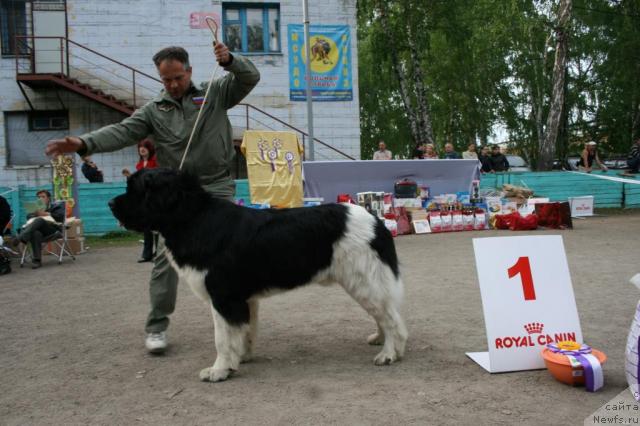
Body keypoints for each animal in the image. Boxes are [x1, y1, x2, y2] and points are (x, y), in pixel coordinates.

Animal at [109, 170, 404, 382]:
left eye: (134, 190)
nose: (110, 203)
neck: (193, 218)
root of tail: (376, 220)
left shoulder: (222, 296)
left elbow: (221, 337)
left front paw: (219, 370)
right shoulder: (244, 299)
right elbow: (245, 330)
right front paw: (240, 358)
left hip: (365, 280)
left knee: (392, 319)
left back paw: (389, 353)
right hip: (363, 282)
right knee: (383, 313)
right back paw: (379, 339)